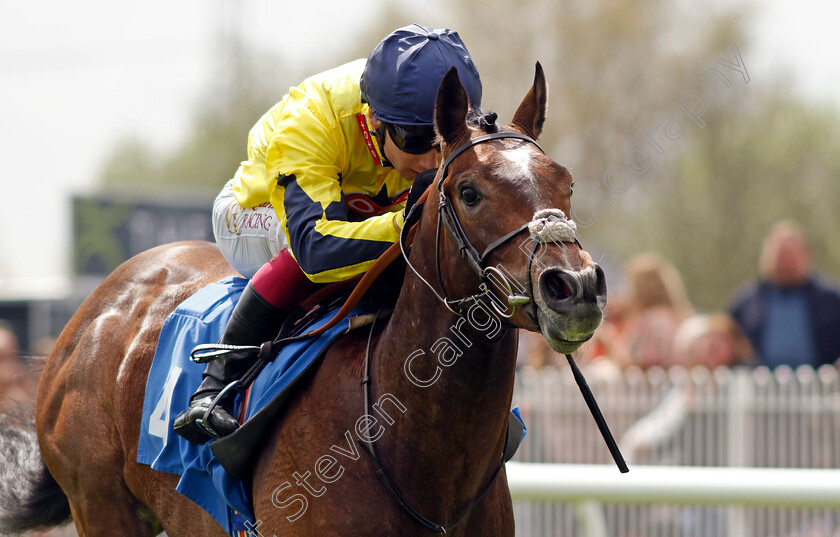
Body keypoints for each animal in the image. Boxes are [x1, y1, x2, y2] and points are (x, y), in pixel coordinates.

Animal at [0, 63, 604, 536]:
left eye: (567, 182)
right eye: (470, 192)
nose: (573, 287)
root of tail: (93, 312)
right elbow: (313, 246)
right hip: (100, 502)